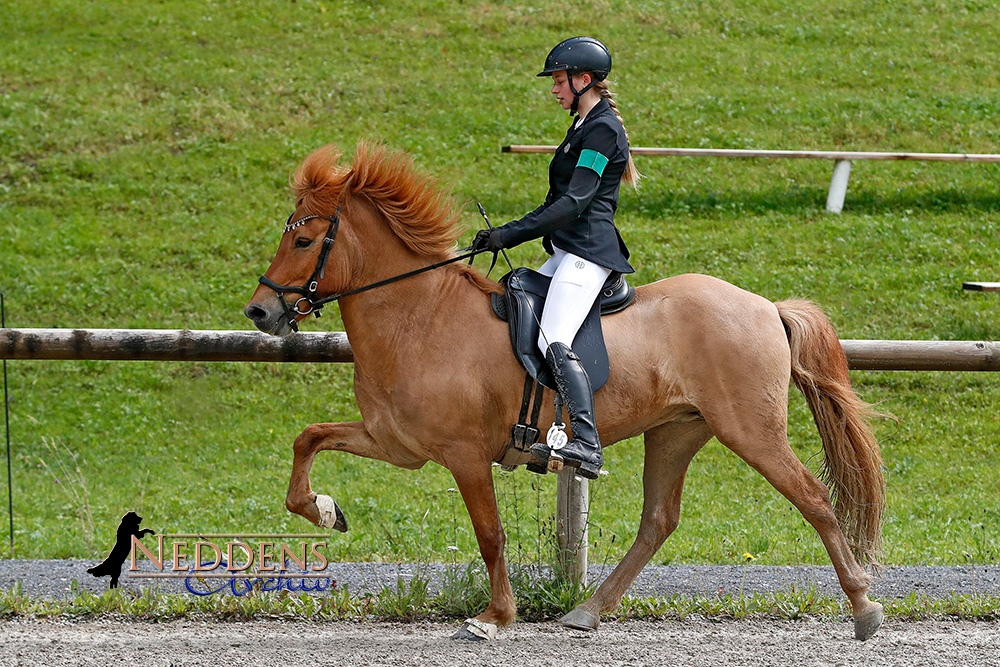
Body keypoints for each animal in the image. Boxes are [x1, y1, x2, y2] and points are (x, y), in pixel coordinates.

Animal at [246, 141, 888, 640]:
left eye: (303, 242)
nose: (260, 312)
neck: (418, 315)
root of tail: (765, 306)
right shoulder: (396, 442)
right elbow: (308, 438)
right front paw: (325, 510)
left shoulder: (464, 455)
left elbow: (490, 534)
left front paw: (494, 617)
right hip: (676, 430)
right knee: (658, 520)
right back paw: (587, 611)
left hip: (751, 430)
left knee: (814, 498)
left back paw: (864, 607)